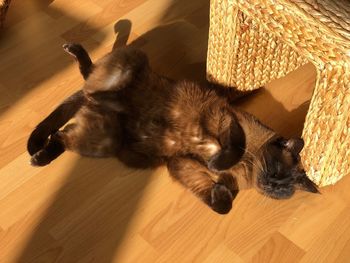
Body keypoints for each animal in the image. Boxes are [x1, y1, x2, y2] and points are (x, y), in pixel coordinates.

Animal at [26, 41, 318, 214]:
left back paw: (40, 157)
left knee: (61, 135)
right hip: (131, 62)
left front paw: (220, 191)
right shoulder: (228, 122)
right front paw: (218, 167)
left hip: (103, 142)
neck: (247, 169)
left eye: (283, 190)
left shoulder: (182, 165)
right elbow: (233, 148)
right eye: (277, 171)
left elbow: (221, 204)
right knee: (89, 79)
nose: (272, 184)